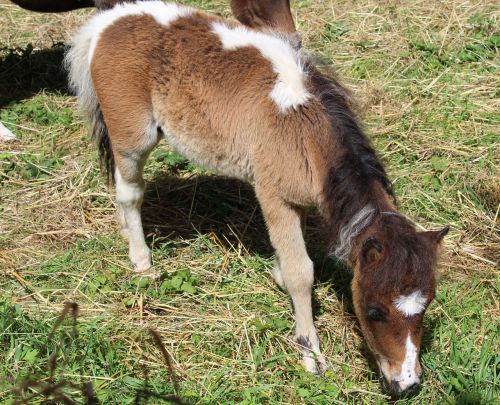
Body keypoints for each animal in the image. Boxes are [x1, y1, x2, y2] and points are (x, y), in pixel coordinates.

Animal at [64, 0, 448, 392]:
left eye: (427, 303)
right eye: (375, 310)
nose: (407, 383)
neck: (306, 131)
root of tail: (109, 20)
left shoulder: (299, 200)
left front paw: (278, 274)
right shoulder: (274, 197)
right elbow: (301, 272)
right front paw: (311, 354)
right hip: (133, 135)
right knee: (130, 191)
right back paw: (141, 258)